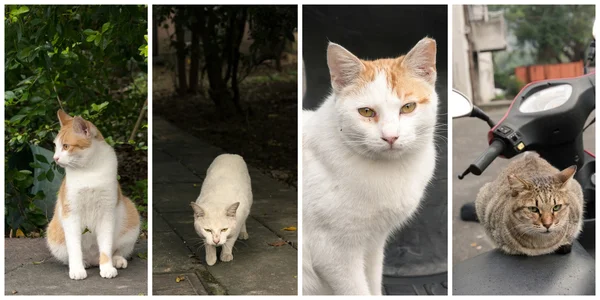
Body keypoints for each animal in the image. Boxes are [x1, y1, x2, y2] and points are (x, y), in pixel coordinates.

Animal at [46, 109, 140, 278]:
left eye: (66, 146)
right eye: (56, 146)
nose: (55, 158)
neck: (89, 170)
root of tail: (93, 260)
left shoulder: (106, 213)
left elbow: (106, 246)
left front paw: (107, 267)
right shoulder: (71, 213)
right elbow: (74, 247)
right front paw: (77, 269)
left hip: (132, 218)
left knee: (117, 250)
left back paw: (117, 260)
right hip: (53, 235)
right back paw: (83, 263)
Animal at [302, 37, 438, 296]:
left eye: (408, 107)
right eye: (366, 112)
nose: (391, 137)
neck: (390, 170)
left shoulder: (374, 243)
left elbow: (373, 283)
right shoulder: (334, 254)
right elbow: (357, 291)